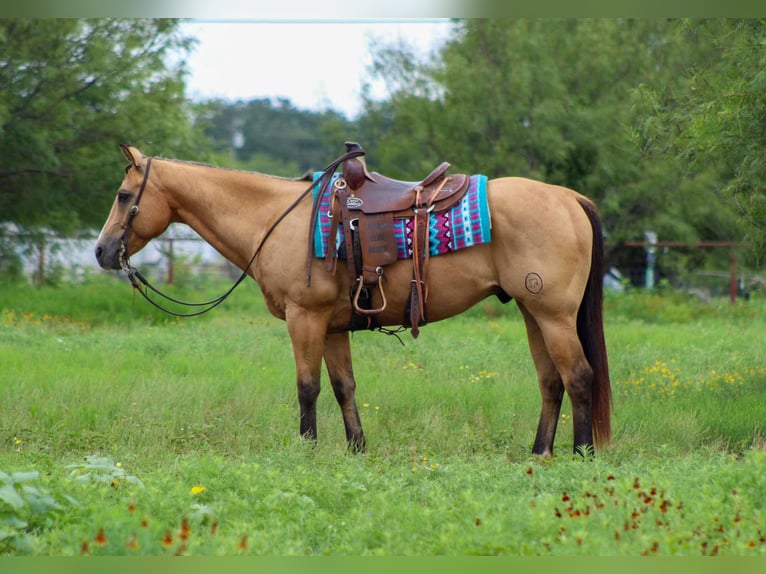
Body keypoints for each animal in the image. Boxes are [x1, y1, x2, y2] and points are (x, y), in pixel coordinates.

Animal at [95, 144, 611, 457]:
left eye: (122, 195)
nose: (101, 251)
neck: (276, 219)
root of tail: (570, 199)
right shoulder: (332, 327)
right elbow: (344, 386)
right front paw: (355, 448)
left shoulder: (304, 319)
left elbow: (307, 387)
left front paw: (306, 449)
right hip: (532, 313)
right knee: (551, 381)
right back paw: (539, 452)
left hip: (553, 315)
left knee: (579, 377)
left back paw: (580, 453)